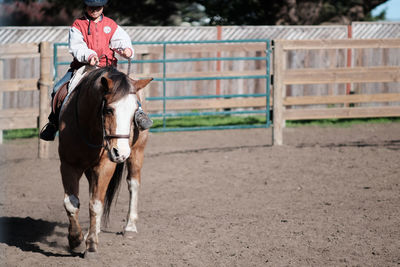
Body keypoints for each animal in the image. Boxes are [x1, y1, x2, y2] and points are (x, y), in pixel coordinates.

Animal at [58, 66, 153, 258]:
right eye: (108, 110)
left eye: (134, 111)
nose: (121, 153)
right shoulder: (68, 165)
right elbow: (71, 203)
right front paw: (76, 239)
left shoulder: (105, 167)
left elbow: (96, 204)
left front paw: (91, 245)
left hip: (137, 152)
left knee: (133, 184)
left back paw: (130, 227)